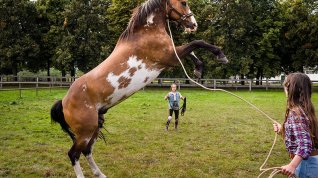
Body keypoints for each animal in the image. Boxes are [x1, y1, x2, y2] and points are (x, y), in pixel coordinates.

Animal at [51, 0, 227, 177]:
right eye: (183, 3)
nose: (193, 25)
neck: (146, 33)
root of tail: (64, 101)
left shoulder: (173, 54)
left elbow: (193, 51)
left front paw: (198, 69)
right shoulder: (170, 56)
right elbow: (197, 43)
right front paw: (220, 56)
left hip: (94, 127)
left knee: (86, 151)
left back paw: (100, 173)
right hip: (85, 131)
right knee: (73, 154)